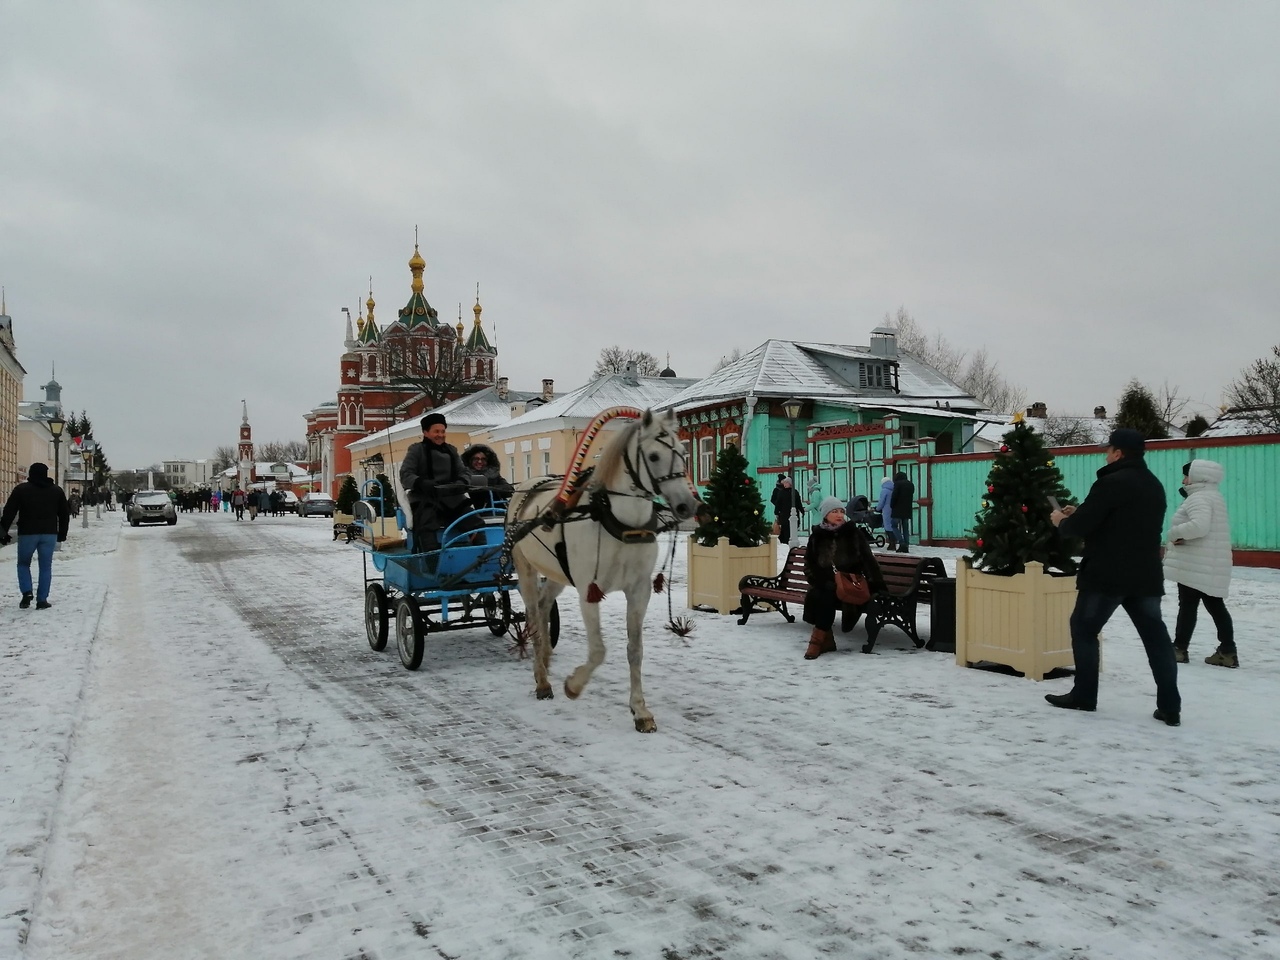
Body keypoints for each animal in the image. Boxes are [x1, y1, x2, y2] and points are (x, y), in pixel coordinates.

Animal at [506, 409, 706, 732]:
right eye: (653, 456)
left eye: (683, 453)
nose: (688, 505)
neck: (619, 524)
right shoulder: (589, 591)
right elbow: (599, 650)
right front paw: (573, 686)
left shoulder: (639, 590)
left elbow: (635, 650)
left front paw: (640, 710)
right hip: (525, 570)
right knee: (534, 616)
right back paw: (542, 680)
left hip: (557, 573)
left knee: (544, 604)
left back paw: (545, 658)